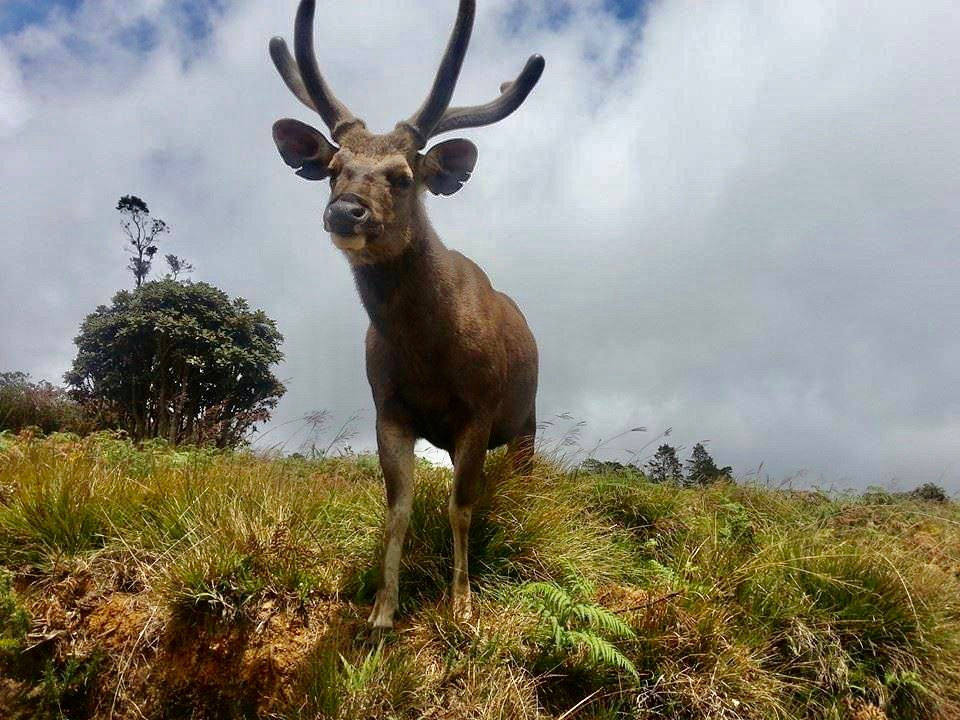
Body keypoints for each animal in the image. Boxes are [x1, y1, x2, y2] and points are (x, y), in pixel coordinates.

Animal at [269, 0, 544, 630]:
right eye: (334, 168)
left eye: (401, 176)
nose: (344, 211)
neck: (428, 354)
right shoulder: (388, 406)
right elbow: (398, 507)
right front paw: (382, 609)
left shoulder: (480, 407)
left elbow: (461, 506)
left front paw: (462, 604)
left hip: (528, 417)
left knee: (521, 476)